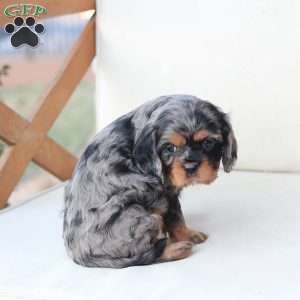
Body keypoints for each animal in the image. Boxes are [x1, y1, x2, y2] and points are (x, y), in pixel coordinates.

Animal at [62, 95, 237, 268]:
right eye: (170, 148)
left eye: (208, 143)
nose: (190, 166)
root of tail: (79, 256)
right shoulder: (165, 194)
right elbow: (176, 218)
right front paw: (188, 235)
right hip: (143, 216)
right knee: (146, 255)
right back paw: (176, 249)